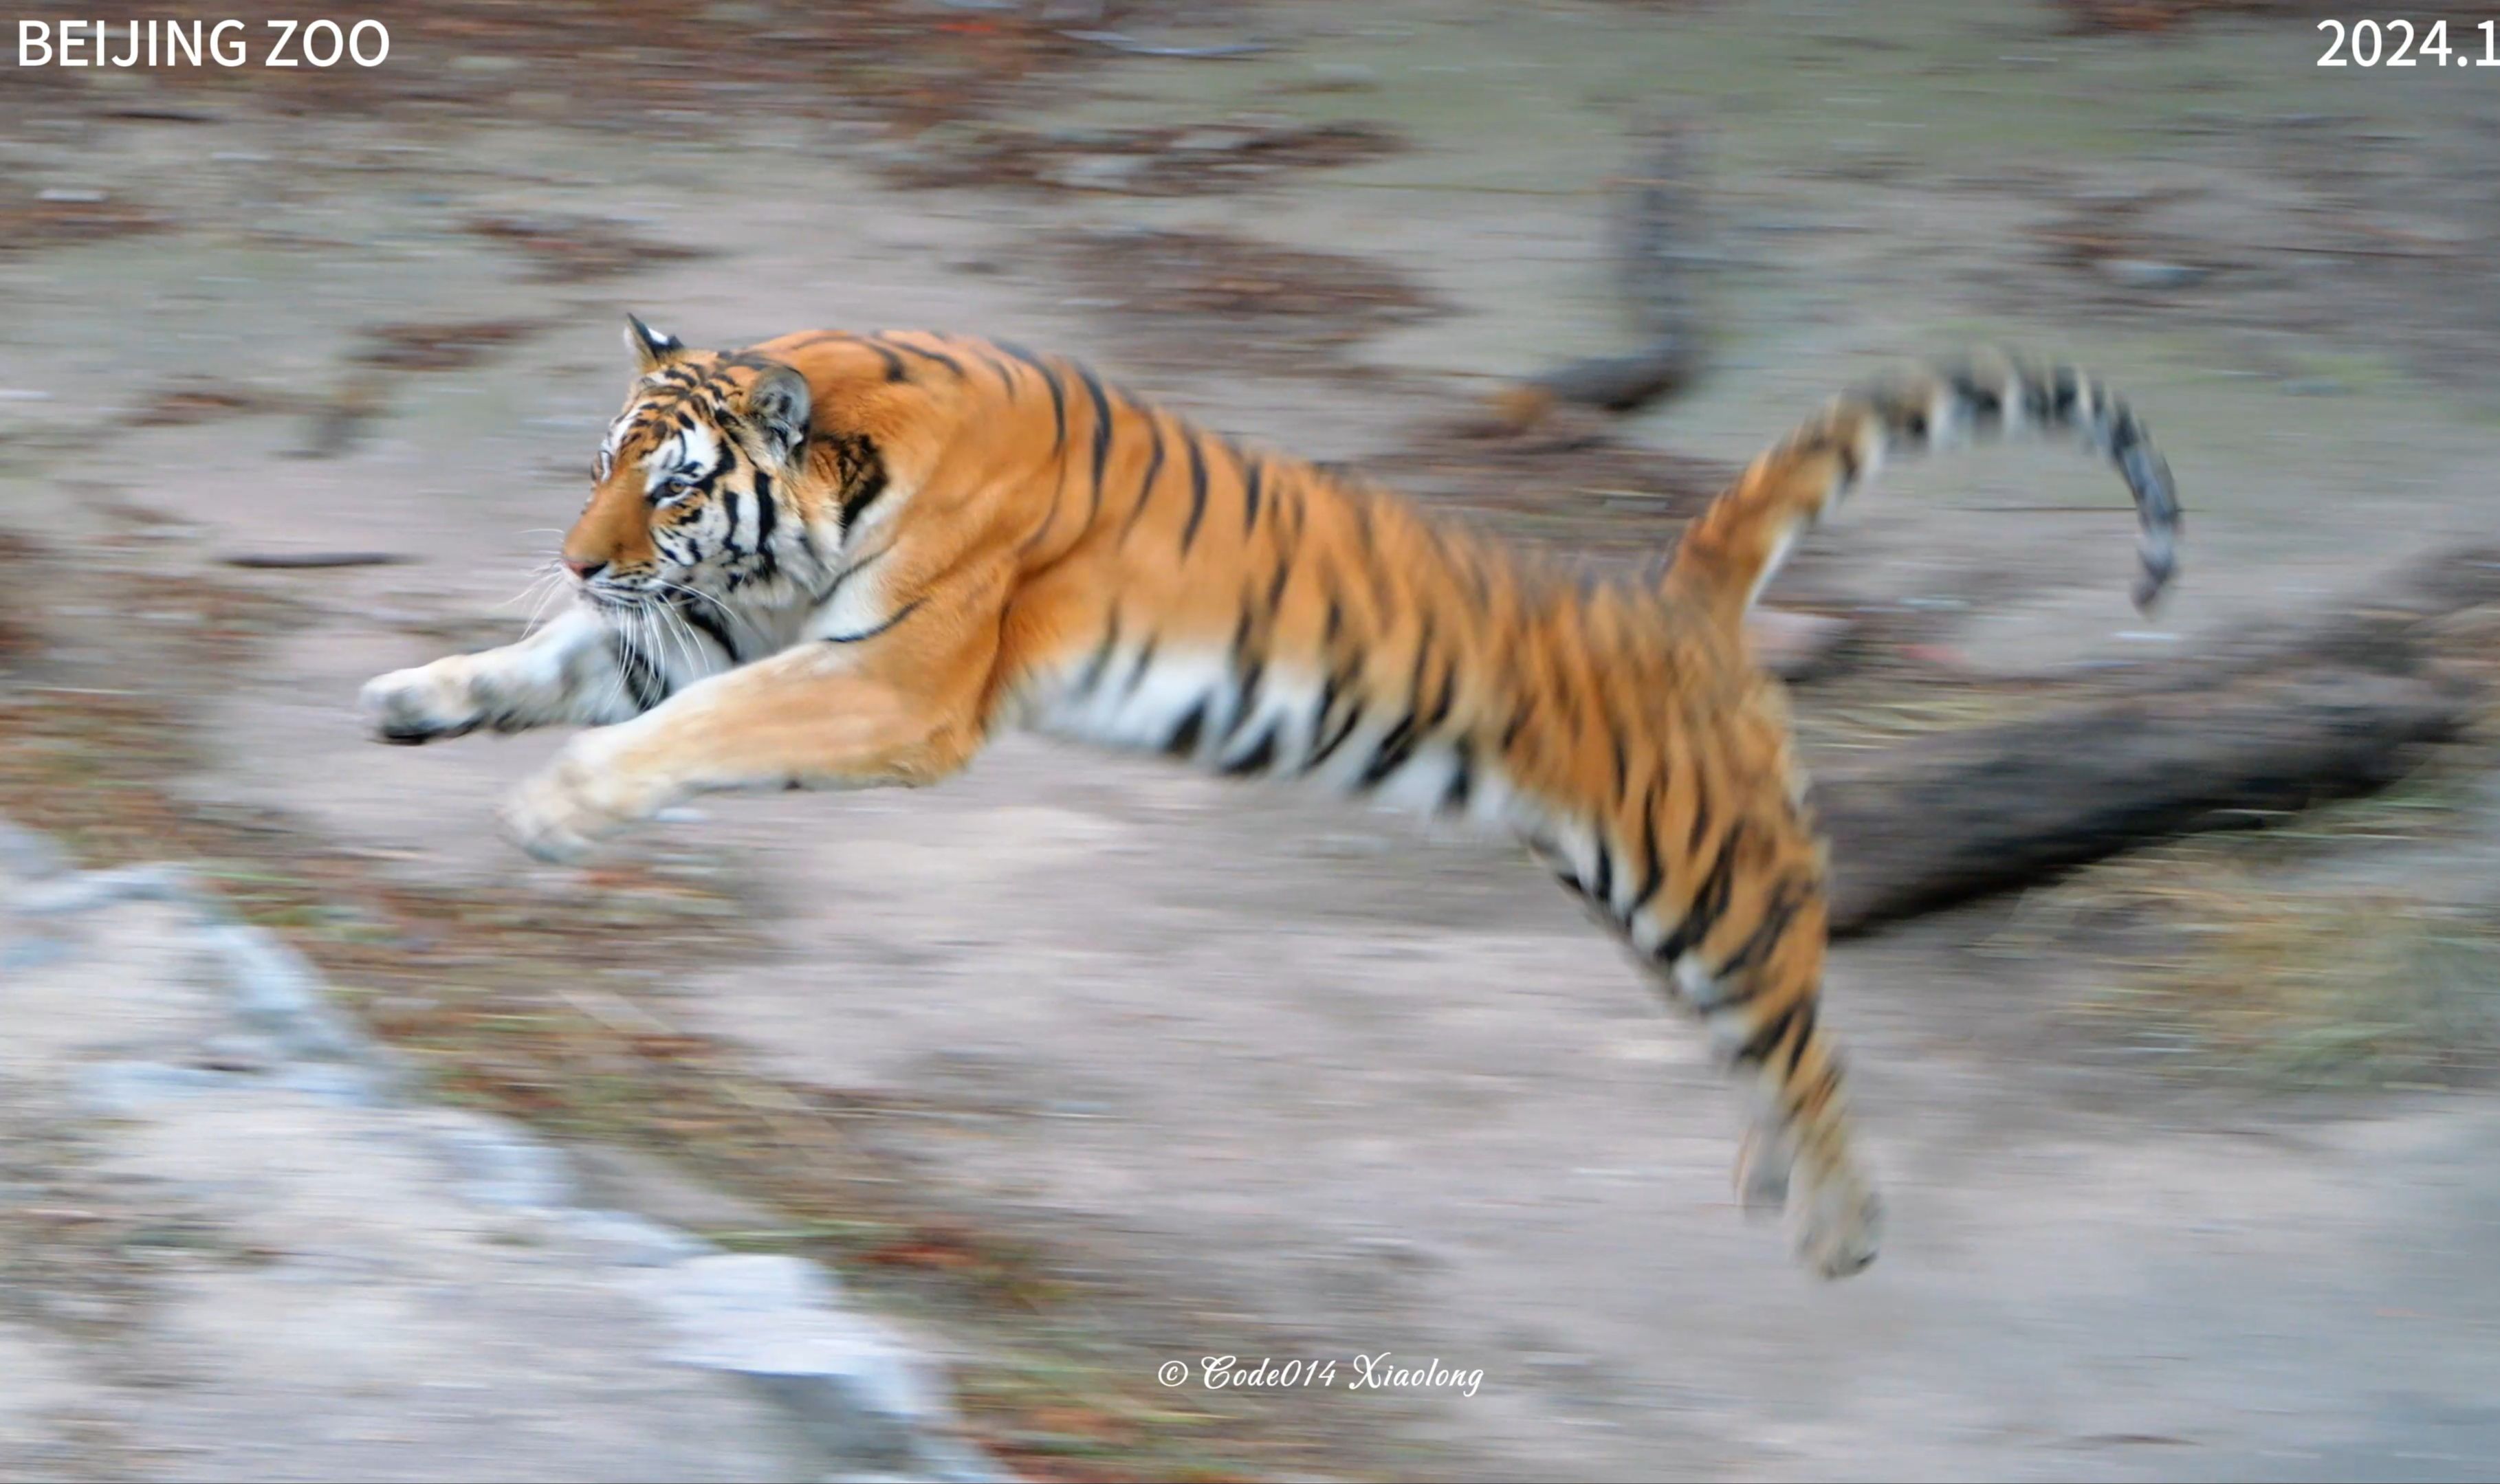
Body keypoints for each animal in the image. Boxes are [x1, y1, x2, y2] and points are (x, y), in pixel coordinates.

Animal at [362, 312, 2180, 1269]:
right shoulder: (732, 628)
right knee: (1774, 1041)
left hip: (1709, 884)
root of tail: (1680, 593)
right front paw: (417, 697)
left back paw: (1838, 1226)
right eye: (599, 462)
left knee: (1807, 1041)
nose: (573, 553)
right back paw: (1771, 1185)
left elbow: (689, 729)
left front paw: (557, 806)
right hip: (1658, 907)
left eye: (669, 487)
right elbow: (564, 669)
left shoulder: (893, 681)